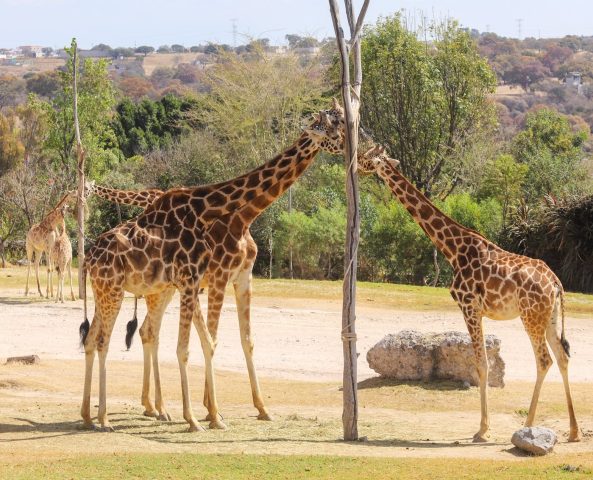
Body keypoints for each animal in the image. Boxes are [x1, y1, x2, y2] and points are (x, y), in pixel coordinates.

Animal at [81, 103, 344, 434]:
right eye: (333, 128)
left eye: (340, 123)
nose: (352, 144)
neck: (233, 215)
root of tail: (89, 257)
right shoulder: (210, 277)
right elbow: (198, 344)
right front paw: (202, 414)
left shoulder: (237, 277)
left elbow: (236, 341)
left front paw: (250, 409)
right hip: (117, 290)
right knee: (109, 339)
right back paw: (108, 417)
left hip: (123, 291)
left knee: (117, 336)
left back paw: (120, 412)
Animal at [356, 145, 580, 442]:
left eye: (366, 158)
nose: (356, 166)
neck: (452, 249)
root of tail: (556, 283)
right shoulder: (478, 310)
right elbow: (482, 363)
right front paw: (484, 427)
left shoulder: (468, 306)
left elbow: (481, 364)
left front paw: (482, 430)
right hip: (550, 316)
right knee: (563, 356)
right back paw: (574, 431)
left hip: (530, 316)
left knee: (544, 360)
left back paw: (527, 425)